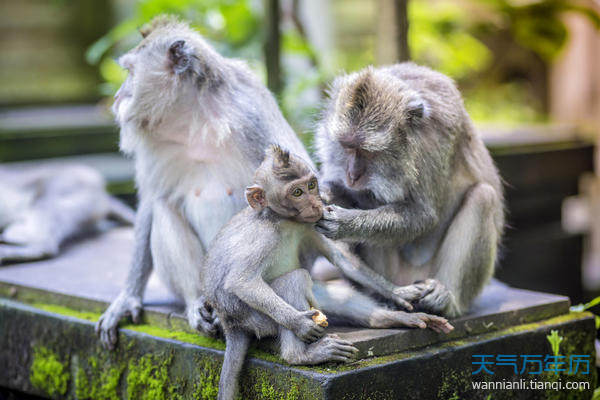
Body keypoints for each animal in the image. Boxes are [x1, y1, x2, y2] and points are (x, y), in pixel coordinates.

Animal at [94, 14, 314, 346]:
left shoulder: (250, 109)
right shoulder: (153, 141)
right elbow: (150, 200)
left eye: (130, 72)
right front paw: (128, 297)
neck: (192, 115)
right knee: (163, 206)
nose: (119, 95)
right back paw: (197, 301)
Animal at [204, 146, 452, 400]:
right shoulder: (265, 235)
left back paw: (390, 318)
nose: (316, 204)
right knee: (293, 280)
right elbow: (241, 282)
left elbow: (341, 259)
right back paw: (301, 355)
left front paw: (400, 293)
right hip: (253, 317)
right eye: (297, 192)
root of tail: (230, 324)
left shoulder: (309, 224)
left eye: (312, 185)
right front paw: (300, 324)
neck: (284, 220)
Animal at [312, 62, 504, 318]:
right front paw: (326, 193)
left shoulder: (435, 144)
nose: (352, 175)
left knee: (484, 197)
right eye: (347, 146)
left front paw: (345, 223)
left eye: (367, 152)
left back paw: (446, 298)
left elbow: (424, 215)